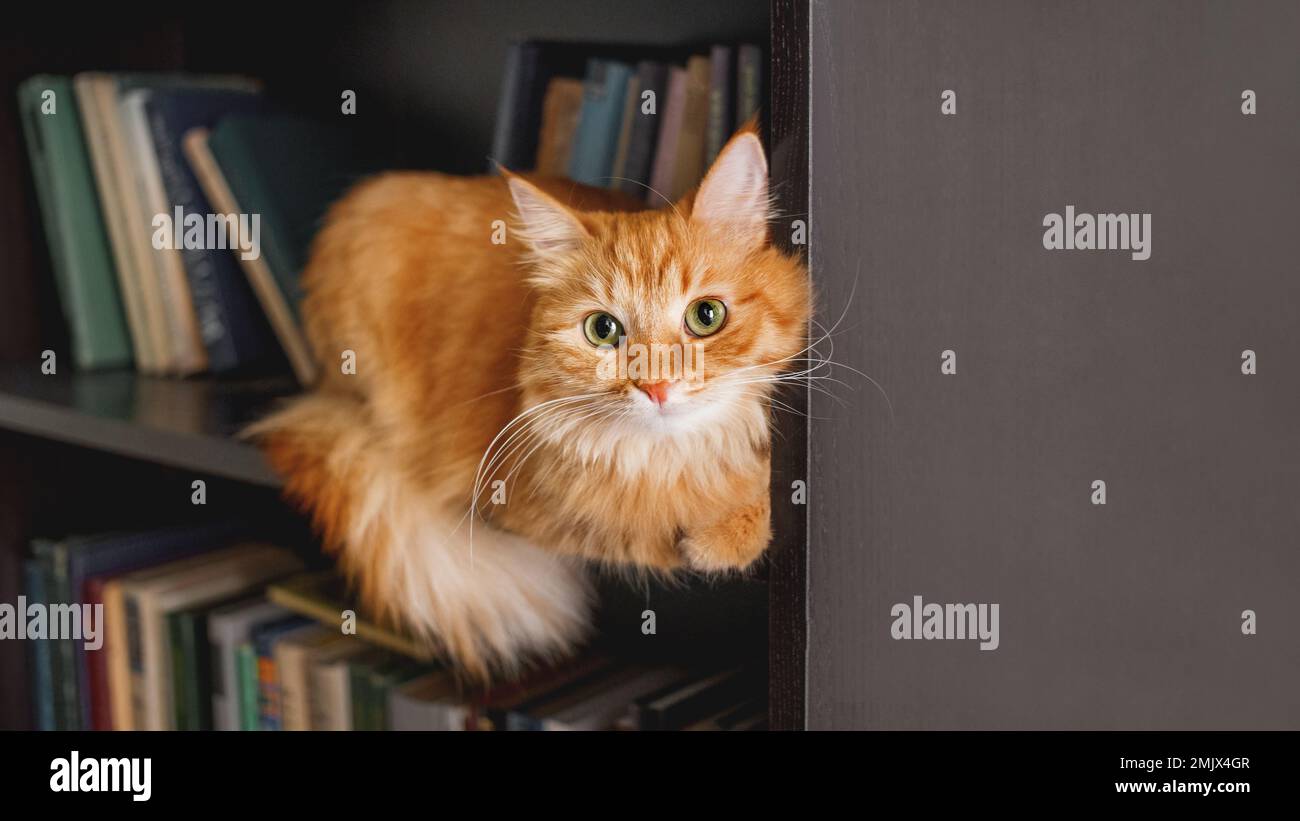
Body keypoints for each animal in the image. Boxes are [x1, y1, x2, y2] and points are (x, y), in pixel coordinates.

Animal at [248, 126, 806, 680]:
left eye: (706, 315)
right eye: (603, 330)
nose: (656, 387)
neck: (677, 460)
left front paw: (734, 521)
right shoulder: (545, 514)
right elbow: (646, 531)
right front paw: (718, 534)